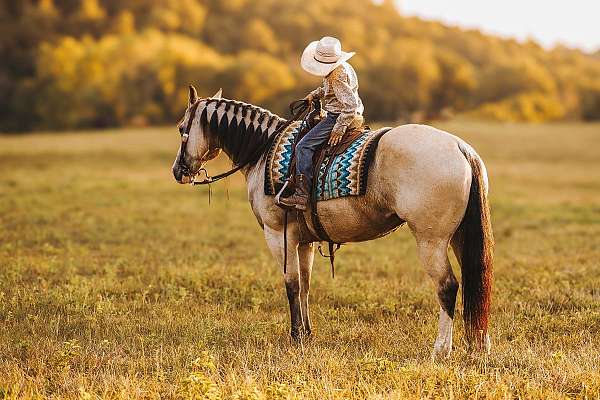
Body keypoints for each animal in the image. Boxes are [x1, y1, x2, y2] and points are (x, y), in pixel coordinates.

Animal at [171, 86, 494, 358]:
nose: (178, 171)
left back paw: (441, 349)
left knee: (447, 287)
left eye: (182, 128)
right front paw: (307, 333)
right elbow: (305, 285)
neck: (262, 152)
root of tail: (459, 147)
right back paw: (477, 344)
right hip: (458, 238)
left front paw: (295, 336)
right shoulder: (303, 241)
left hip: (431, 241)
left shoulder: (278, 235)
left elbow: (291, 285)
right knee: (473, 282)